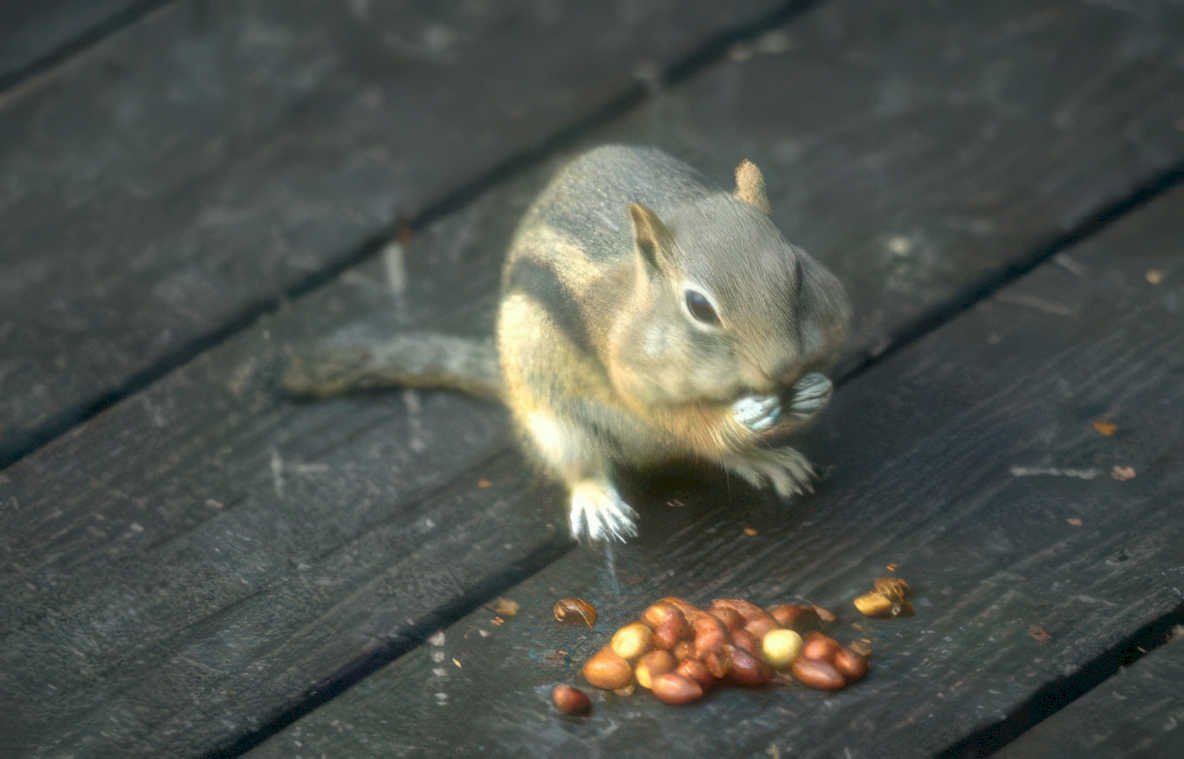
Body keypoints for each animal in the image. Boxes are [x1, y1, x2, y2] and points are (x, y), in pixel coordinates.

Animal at [284, 145, 851, 542]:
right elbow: (688, 421)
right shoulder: (630, 378)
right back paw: (598, 500)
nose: (783, 368)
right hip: (552, 420)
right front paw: (742, 415)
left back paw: (767, 460)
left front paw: (815, 390)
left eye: (797, 270)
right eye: (699, 307)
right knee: (589, 464)